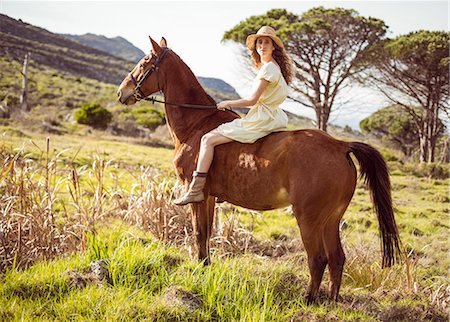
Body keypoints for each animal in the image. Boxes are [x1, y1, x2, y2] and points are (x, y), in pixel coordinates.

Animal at [118, 36, 402, 304]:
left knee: (318, 258)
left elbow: (199, 233)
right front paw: (206, 268)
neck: (197, 124)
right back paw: (331, 300)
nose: (122, 92)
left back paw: (309, 299)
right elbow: (207, 233)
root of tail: (340, 145)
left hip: (309, 217)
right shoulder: (208, 197)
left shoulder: (196, 194)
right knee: (337, 257)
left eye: (145, 62)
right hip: (331, 218)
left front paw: (199, 270)